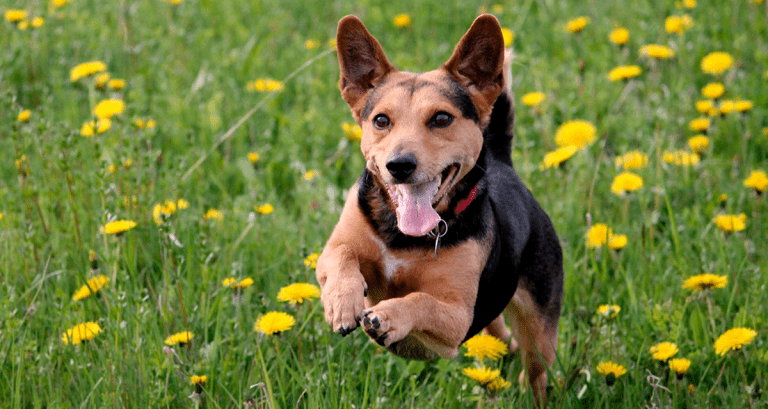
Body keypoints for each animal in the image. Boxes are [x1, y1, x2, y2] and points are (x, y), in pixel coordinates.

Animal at [316, 13, 564, 404]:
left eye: (442, 119)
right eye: (381, 120)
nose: (400, 165)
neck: (404, 236)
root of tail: (502, 163)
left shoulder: (458, 318)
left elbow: (421, 301)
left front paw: (388, 317)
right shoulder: (334, 249)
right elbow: (341, 257)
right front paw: (342, 302)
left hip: (540, 329)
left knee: (536, 371)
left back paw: (529, 392)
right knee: (500, 334)